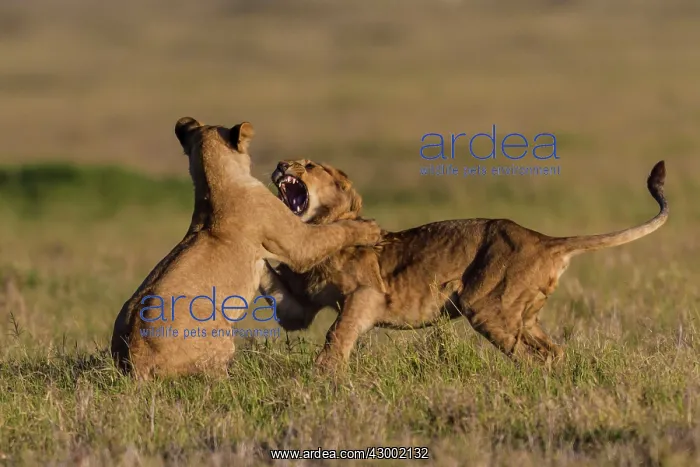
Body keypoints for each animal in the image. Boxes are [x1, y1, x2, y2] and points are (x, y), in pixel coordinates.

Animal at [110, 118, 382, 379]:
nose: (281, 164)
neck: (214, 185)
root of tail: (135, 362)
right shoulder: (299, 242)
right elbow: (335, 231)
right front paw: (369, 228)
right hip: (221, 334)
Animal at [259, 159, 668, 369]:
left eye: (309, 165)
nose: (279, 165)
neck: (317, 229)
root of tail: (542, 238)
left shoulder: (367, 294)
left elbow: (337, 332)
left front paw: (323, 374)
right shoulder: (300, 306)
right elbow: (278, 287)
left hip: (486, 305)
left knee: (527, 356)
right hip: (523, 314)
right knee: (553, 351)